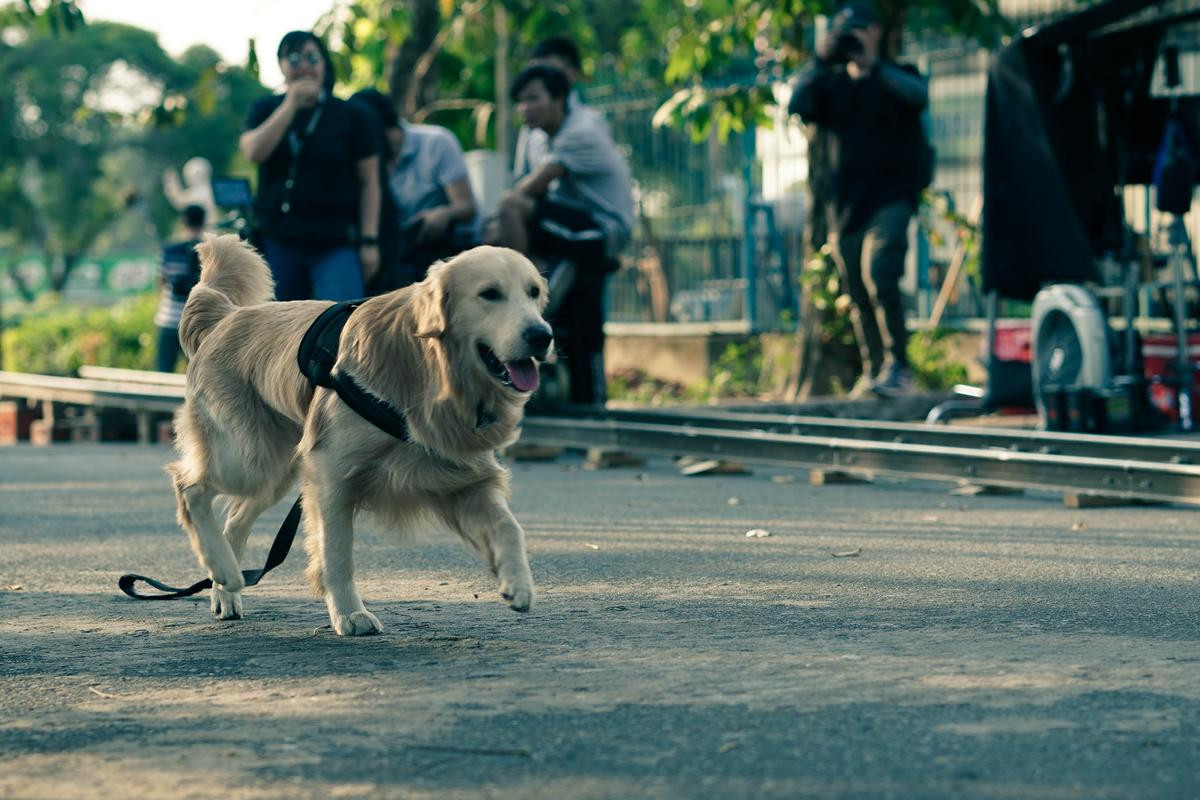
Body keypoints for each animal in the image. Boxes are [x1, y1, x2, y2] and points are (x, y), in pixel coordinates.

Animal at [166, 235, 549, 633]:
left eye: (534, 292)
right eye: (490, 294)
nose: (542, 336)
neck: (428, 367)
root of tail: (226, 316)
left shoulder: (462, 478)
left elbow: (509, 526)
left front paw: (517, 582)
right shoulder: (331, 473)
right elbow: (337, 553)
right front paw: (349, 613)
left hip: (275, 470)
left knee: (235, 518)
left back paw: (226, 586)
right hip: (249, 457)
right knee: (188, 486)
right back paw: (222, 567)